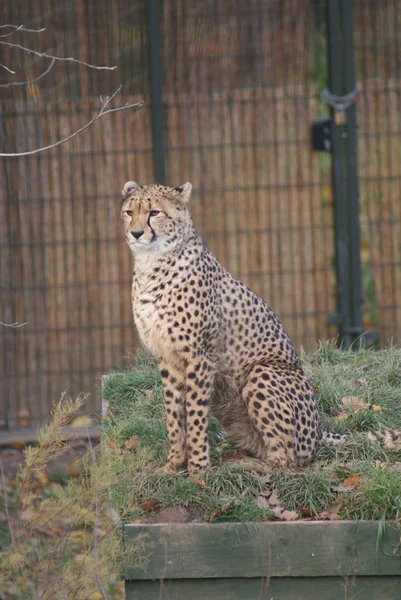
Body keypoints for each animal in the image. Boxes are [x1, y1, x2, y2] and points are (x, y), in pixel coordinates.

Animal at [121, 180, 400, 476]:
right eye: (129, 212)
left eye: (154, 213)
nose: (136, 233)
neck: (152, 264)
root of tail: (319, 431)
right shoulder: (168, 357)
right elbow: (174, 415)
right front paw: (174, 465)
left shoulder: (199, 356)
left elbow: (195, 416)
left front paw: (198, 472)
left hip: (262, 372)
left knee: (288, 459)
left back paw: (254, 468)